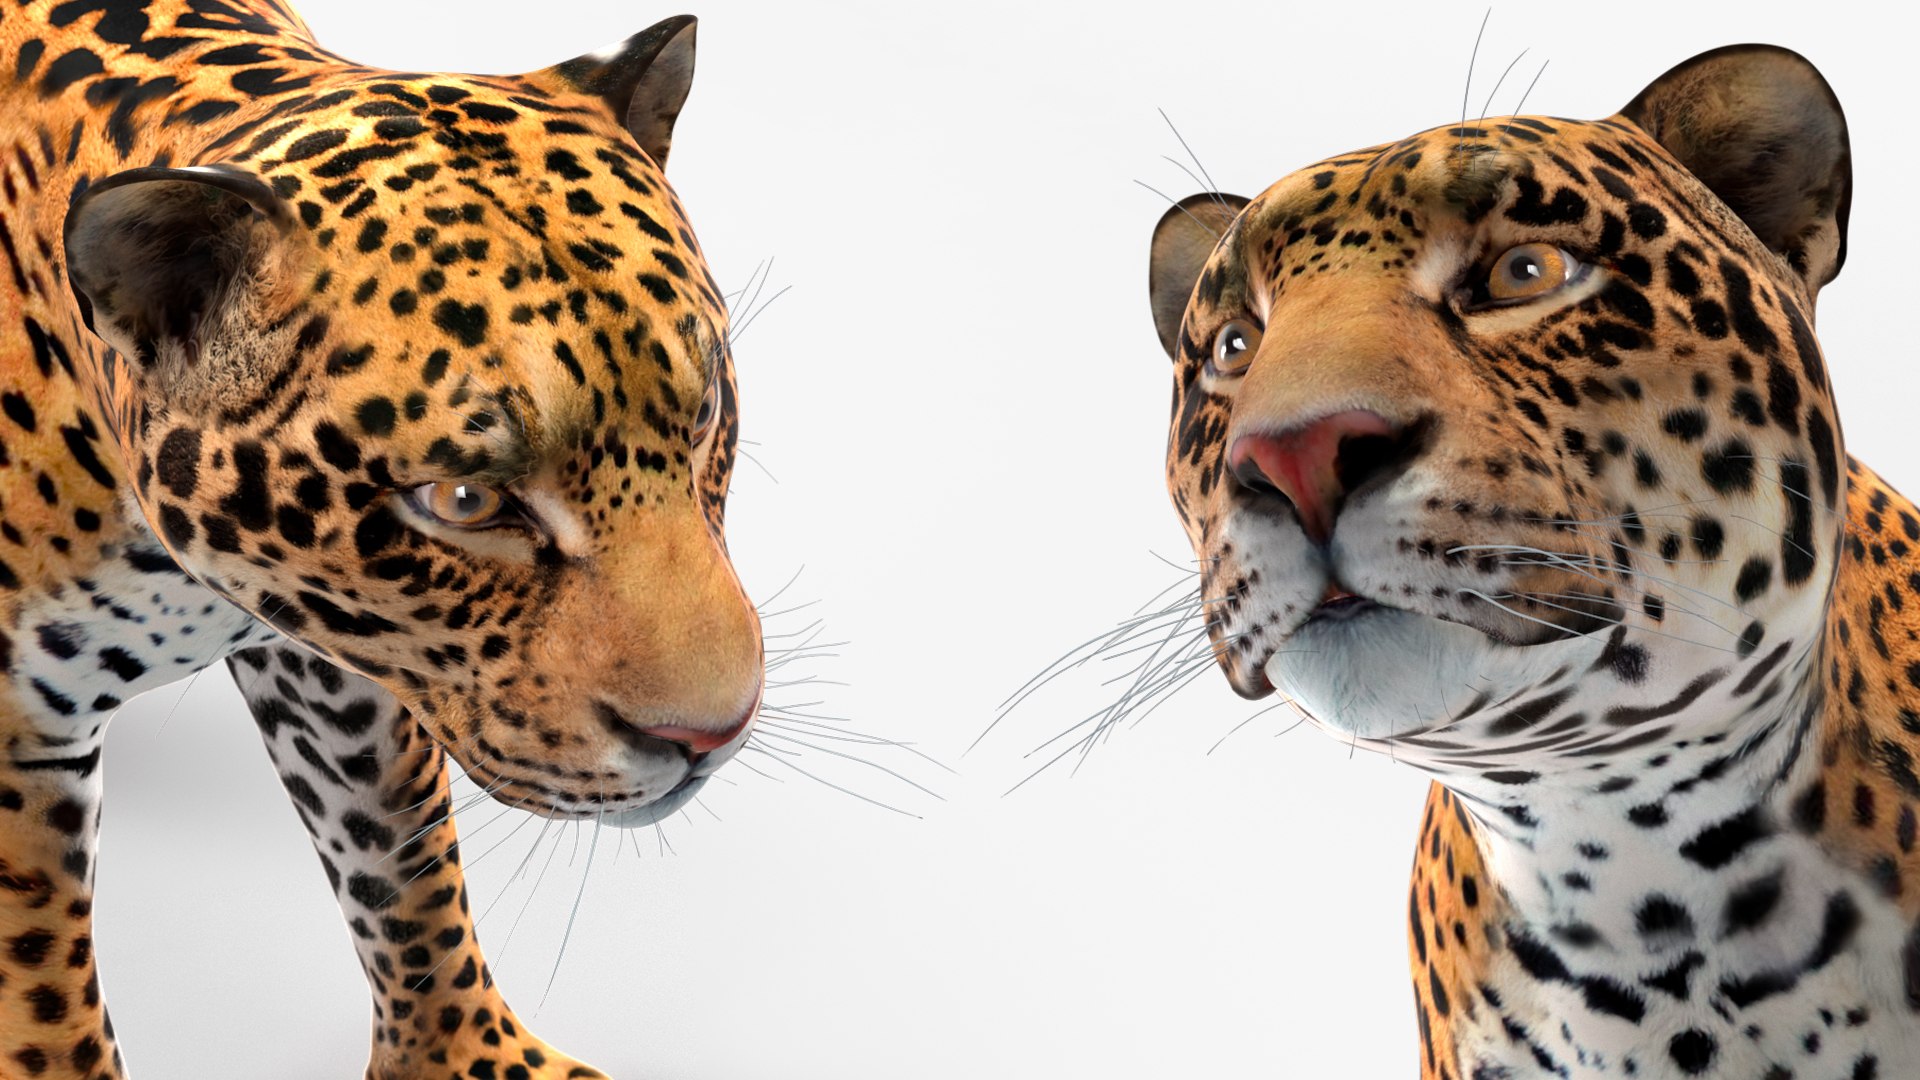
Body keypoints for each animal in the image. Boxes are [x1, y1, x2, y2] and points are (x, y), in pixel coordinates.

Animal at [0, 2, 765, 1078]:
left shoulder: (346, 651)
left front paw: (463, 1053)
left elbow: (399, 860)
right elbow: (41, 995)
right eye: (463, 500)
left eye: (703, 421)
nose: (712, 738)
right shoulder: (17, 730)